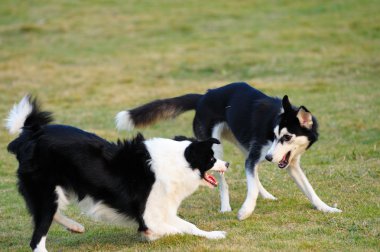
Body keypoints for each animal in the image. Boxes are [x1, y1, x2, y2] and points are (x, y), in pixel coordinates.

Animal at [5, 95, 229, 251]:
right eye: (211, 158)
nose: (227, 163)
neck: (178, 161)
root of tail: (30, 135)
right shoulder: (150, 216)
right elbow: (175, 230)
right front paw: (151, 236)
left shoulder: (164, 211)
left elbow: (190, 226)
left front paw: (214, 234)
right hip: (45, 191)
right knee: (37, 239)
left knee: (51, 213)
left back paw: (74, 226)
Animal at [116, 82, 342, 220]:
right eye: (275, 135)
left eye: (286, 137)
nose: (269, 157)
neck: (276, 117)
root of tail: (204, 96)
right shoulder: (256, 156)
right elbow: (250, 186)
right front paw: (245, 211)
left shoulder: (290, 163)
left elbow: (309, 189)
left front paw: (326, 208)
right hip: (215, 149)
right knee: (223, 180)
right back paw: (226, 207)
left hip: (242, 144)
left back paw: (266, 194)